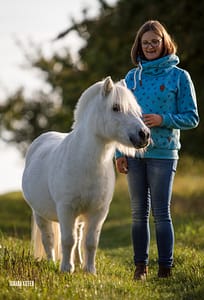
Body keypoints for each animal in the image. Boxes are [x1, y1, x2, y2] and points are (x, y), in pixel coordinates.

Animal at [21, 77, 150, 274]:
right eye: (115, 107)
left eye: (136, 109)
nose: (144, 135)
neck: (87, 163)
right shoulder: (66, 209)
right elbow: (67, 240)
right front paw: (66, 269)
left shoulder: (98, 212)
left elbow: (90, 242)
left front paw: (90, 270)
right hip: (40, 214)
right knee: (48, 238)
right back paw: (52, 263)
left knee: (78, 237)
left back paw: (78, 262)